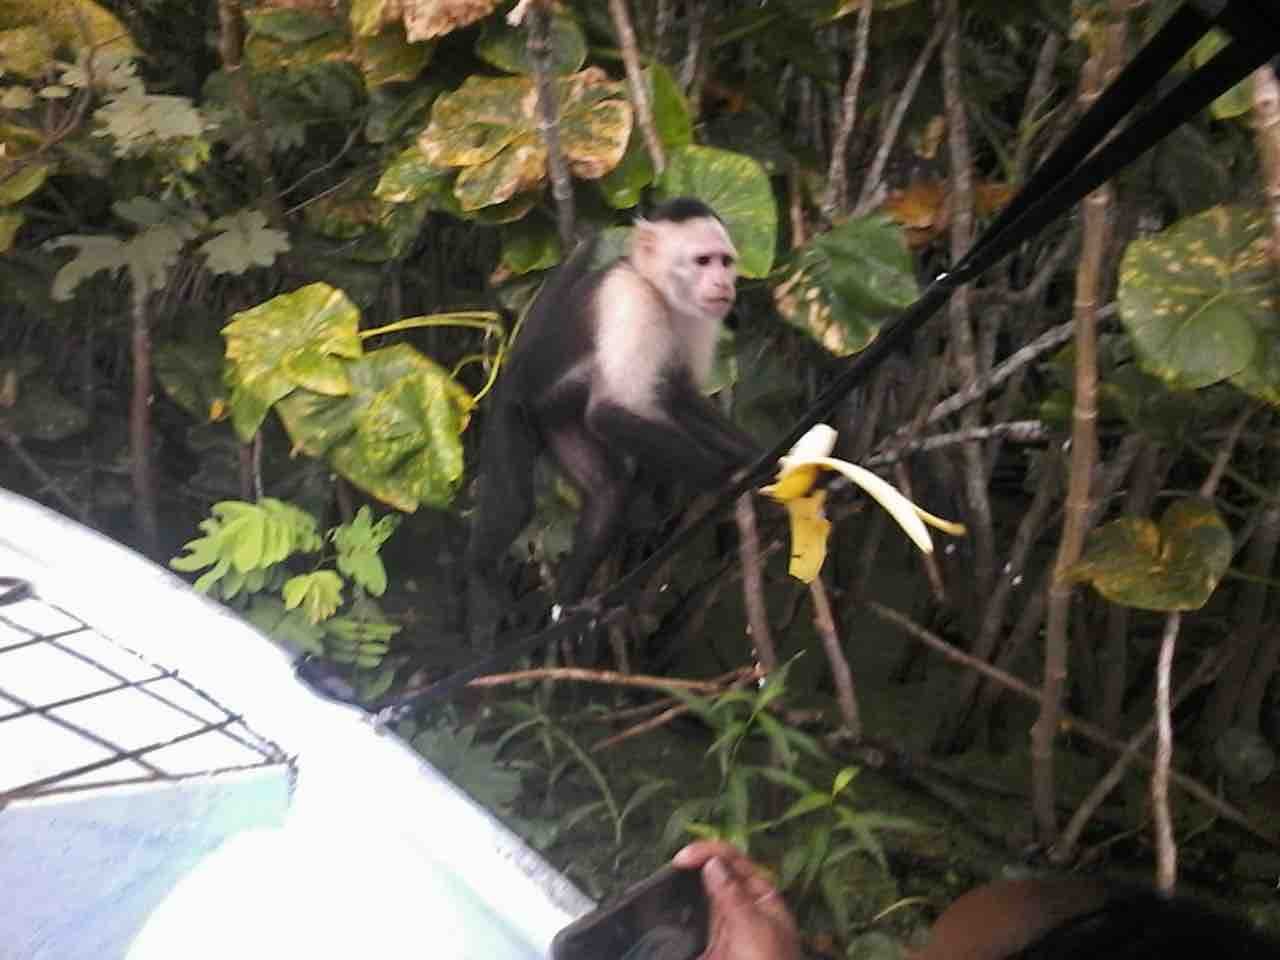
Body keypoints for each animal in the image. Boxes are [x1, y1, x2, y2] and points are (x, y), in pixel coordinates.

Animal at [466, 197, 760, 645]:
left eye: (725, 262)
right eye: (703, 261)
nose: (723, 283)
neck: (656, 288)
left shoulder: (698, 317)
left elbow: (677, 395)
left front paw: (755, 453)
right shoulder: (630, 301)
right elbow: (608, 410)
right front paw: (726, 472)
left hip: (558, 423)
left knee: (607, 493)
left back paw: (567, 606)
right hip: (511, 412)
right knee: (515, 503)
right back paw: (480, 573)